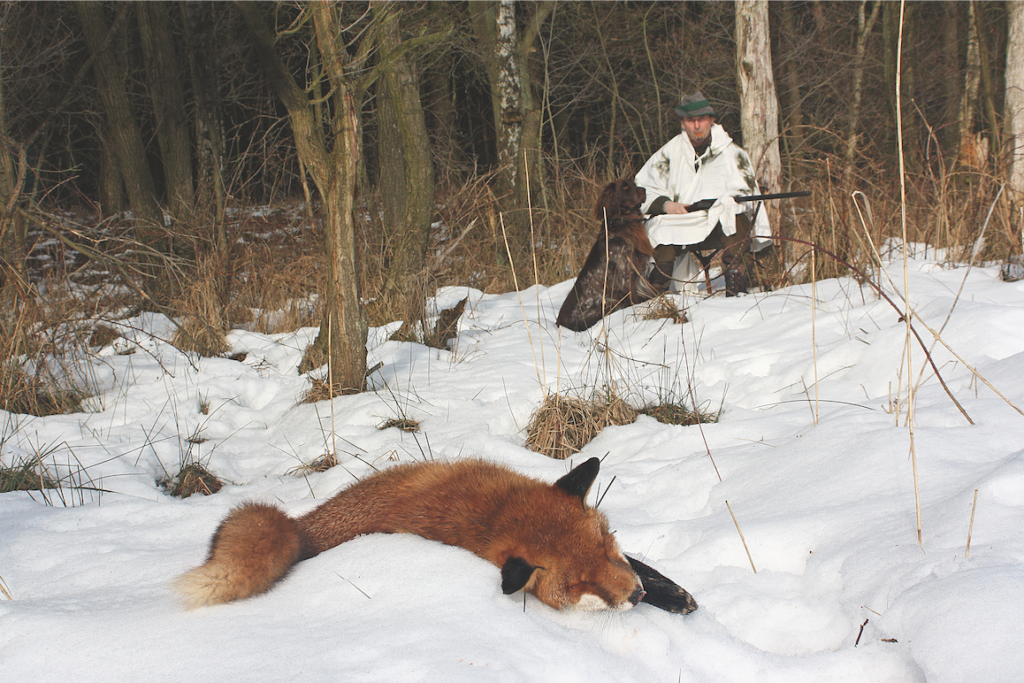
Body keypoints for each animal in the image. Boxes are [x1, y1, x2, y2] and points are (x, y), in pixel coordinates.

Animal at [176, 458, 696, 614]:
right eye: (580, 584)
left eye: (608, 547)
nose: (636, 596)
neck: (496, 513)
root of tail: (301, 528)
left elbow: (645, 565)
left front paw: (673, 594)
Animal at [557, 180, 659, 331]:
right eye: (625, 187)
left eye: (633, 184)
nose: (644, 190)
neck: (623, 224)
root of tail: (558, 323)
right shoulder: (626, 277)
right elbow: (635, 299)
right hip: (609, 303)